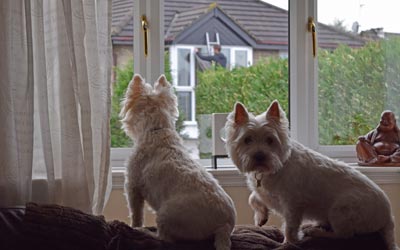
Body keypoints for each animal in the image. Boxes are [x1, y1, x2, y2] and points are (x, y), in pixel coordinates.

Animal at [120, 74, 236, 250]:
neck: (157, 130)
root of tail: (223, 226)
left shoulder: (133, 186)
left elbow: (136, 214)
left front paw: (135, 227)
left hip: (165, 214)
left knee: (165, 239)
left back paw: (147, 232)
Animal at [225, 100, 396, 250]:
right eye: (247, 139)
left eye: (270, 140)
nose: (260, 157)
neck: (275, 167)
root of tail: (388, 216)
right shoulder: (265, 191)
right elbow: (253, 197)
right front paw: (261, 217)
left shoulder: (293, 204)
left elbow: (290, 226)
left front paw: (288, 242)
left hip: (342, 209)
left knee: (344, 234)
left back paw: (316, 231)